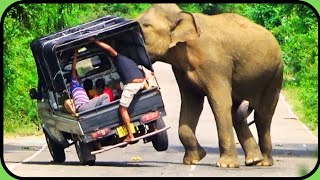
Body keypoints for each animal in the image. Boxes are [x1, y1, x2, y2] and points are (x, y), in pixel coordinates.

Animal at [137, 3, 282, 168]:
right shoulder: (181, 70)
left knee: (262, 116)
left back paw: (263, 163)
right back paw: (253, 160)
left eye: (146, 25)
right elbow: (191, 104)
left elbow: (219, 103)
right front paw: (194, 160)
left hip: (275, 75)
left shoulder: (215, 65)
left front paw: (226, 165)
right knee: (236, 112)